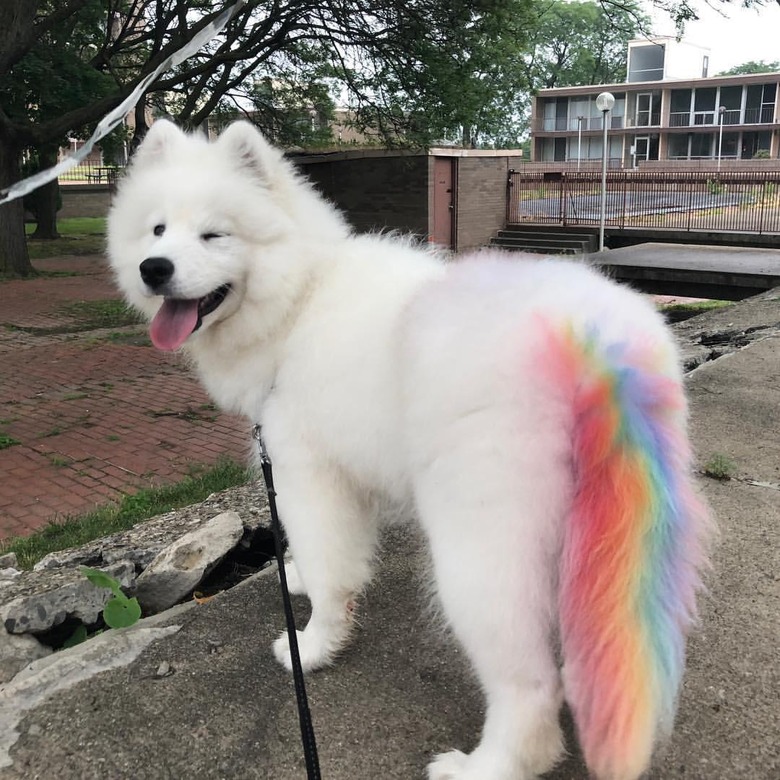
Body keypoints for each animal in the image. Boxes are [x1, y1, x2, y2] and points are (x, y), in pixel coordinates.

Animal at [109, 122, 712, 780]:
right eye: (157, 229)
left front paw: (313, 646)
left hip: (482, 547)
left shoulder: (305, 474)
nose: (154, 268)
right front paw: (298, 578)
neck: (299, 302)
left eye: (213, 234)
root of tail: (597, 344)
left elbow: (330, 568)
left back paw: (484, 765)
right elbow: (334, 560)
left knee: (528, 687)